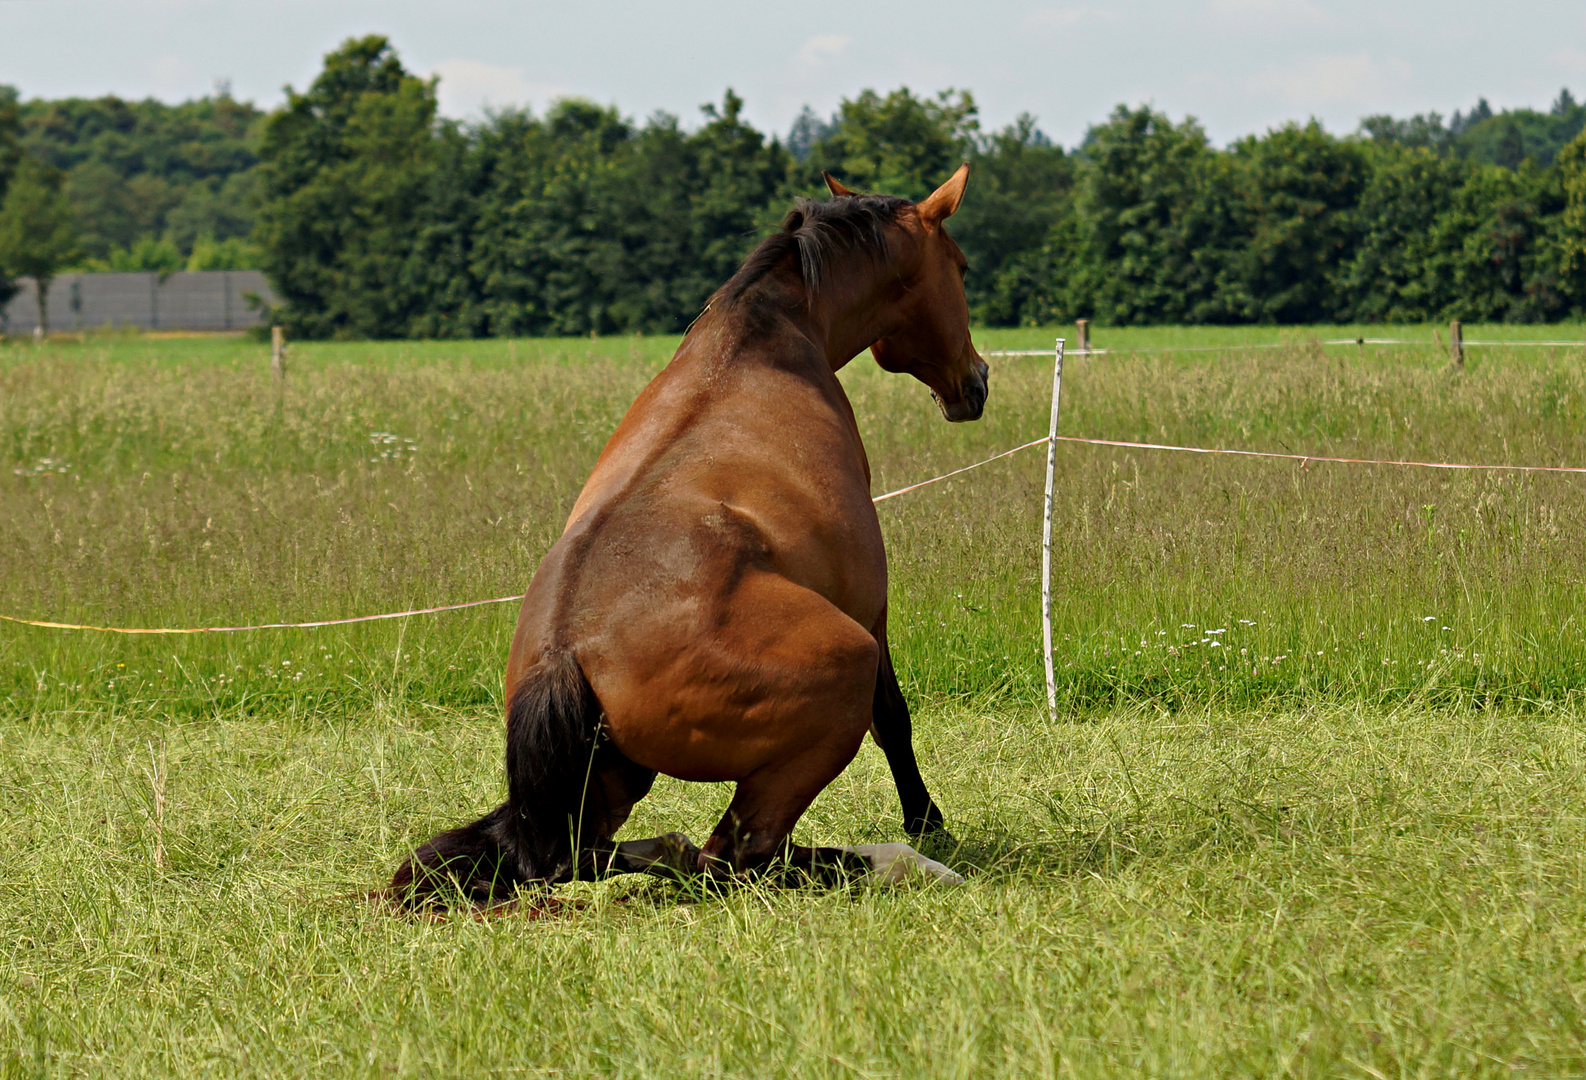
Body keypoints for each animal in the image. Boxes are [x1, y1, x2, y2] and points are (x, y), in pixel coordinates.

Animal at [393, 164, 989, 907]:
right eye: (961, 266)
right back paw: (903, 861)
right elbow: (895, 718)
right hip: (837, 674)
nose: (976, 381)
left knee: (582, 856)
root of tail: (563, 654)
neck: (763, 339)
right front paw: (928, 822)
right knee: (736, 858)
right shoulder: (870, 610)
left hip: (609, 782)